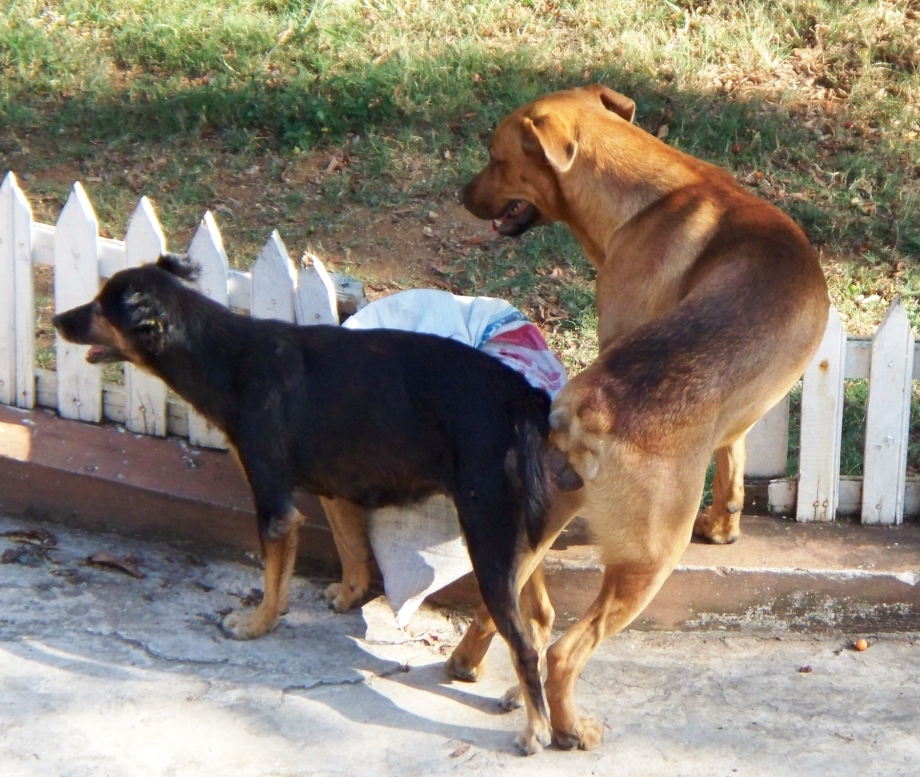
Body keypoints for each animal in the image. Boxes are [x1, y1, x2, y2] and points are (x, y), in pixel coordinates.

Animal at [55, 255, 552, 752]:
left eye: (100, 308)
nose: (57, 321)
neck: (226, 356)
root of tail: (523, 397)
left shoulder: (275, 507)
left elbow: (274, 580)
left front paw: (257, 624)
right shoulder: (338, 487)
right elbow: (351, 548)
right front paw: (348, 594)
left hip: (488, 538)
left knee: (523, 643)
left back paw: (537, 728)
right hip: (518, 541)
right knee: (542, 619)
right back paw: (523, 697)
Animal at [454, 86, 832, 752]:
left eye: (496, 158)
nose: (461, 196)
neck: (646, 200)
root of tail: (592, 406)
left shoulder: (734, 419)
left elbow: (732, 461)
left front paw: (724, 526)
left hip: (544, 526)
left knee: (505, 607)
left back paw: (473, 667)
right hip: (649, 562)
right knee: (565, 653)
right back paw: (572, 728)